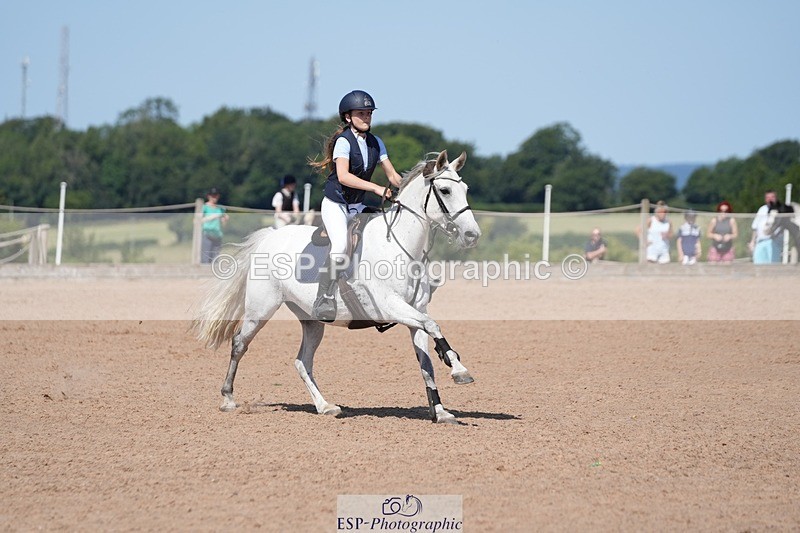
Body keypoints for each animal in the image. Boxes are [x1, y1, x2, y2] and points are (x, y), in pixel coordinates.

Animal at [191, 150, 482, 424]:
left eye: (466, 189)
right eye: (445, 190)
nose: (472, 235)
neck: (401, 247)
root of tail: (269, 237)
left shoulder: (415, 313)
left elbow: (426, 361)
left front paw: (441, 410)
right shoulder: (391, 307)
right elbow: (434, 326)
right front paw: (458, 370)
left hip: (311, 321)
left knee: (302, 361)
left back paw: (325, 406)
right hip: (260, 310)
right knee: (239, 344)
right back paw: (228, 399)